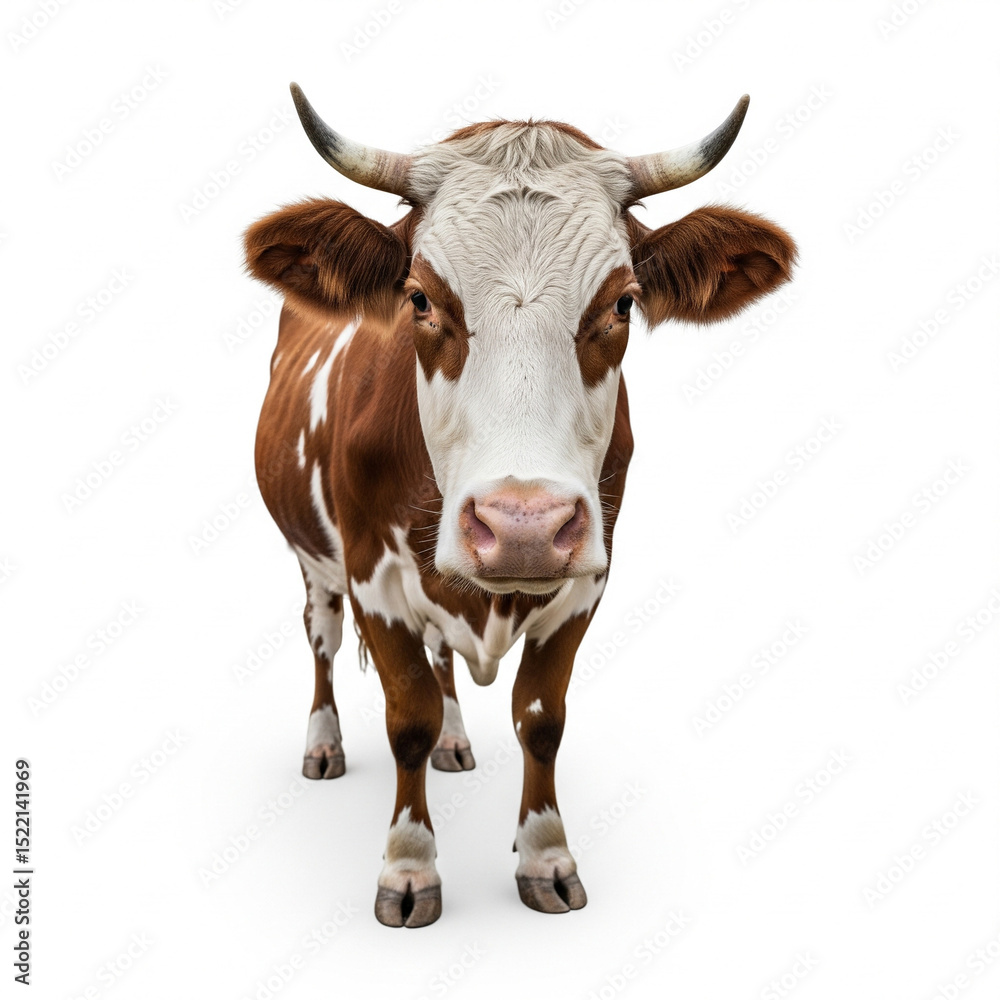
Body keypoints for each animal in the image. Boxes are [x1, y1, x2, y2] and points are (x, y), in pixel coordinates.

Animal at [244, 83, 796, 927]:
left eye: (623, 304)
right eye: (419, 298)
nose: (523, 529)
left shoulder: (590, 576)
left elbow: (541, 718)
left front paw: (546, 858)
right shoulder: (373, 576)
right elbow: (405, 718)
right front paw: (409, 871)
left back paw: (456, 742)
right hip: (313, 563)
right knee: (322, 642)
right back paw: (323, 745)